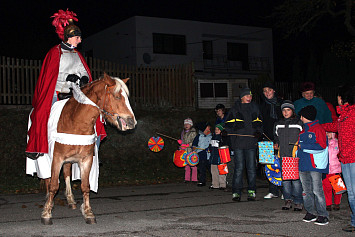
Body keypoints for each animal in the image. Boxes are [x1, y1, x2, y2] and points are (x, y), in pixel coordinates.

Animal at [41, 73, 136, 225]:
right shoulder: (57, 158)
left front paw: (88, 212)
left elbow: (85, 186)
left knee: (67, 173)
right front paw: (46, 213)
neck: (76, 123)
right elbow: (54, 185)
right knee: (47, 179)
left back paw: (70, 199)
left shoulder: (86, 160)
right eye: (117, 96)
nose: (131, 122)